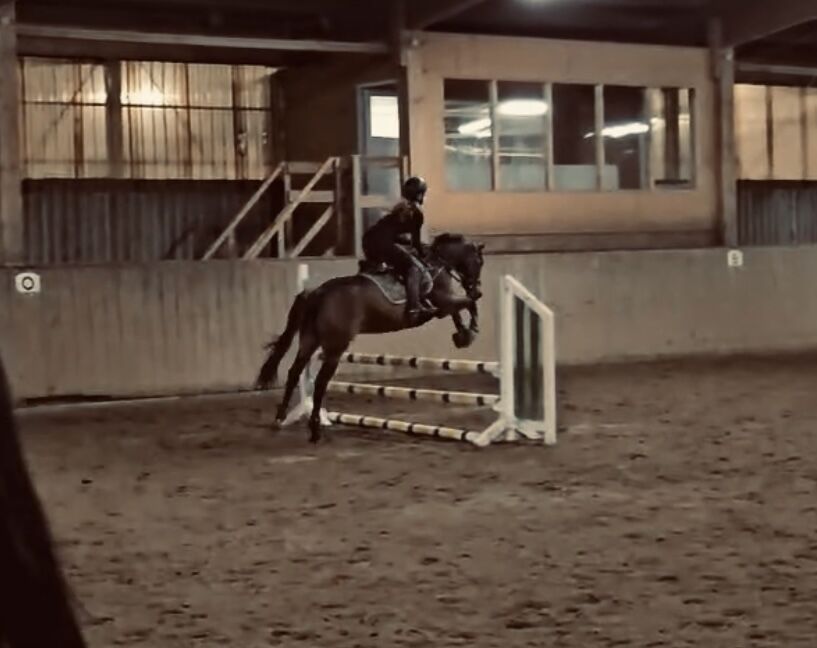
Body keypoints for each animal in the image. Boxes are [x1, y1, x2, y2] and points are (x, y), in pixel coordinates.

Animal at [256, 233, 486, 443]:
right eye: (479, 262)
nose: (478, 290)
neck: (436, 263)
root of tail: (317, 293)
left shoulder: (444, 306)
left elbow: (459, 311)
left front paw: (462, 335)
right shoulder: (443, 303)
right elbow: (468, 304)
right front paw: (472, 330)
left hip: (309, 340)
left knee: (294, 373)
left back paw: (279, 418)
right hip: (335, 346)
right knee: (320, 382)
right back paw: (315, 429)